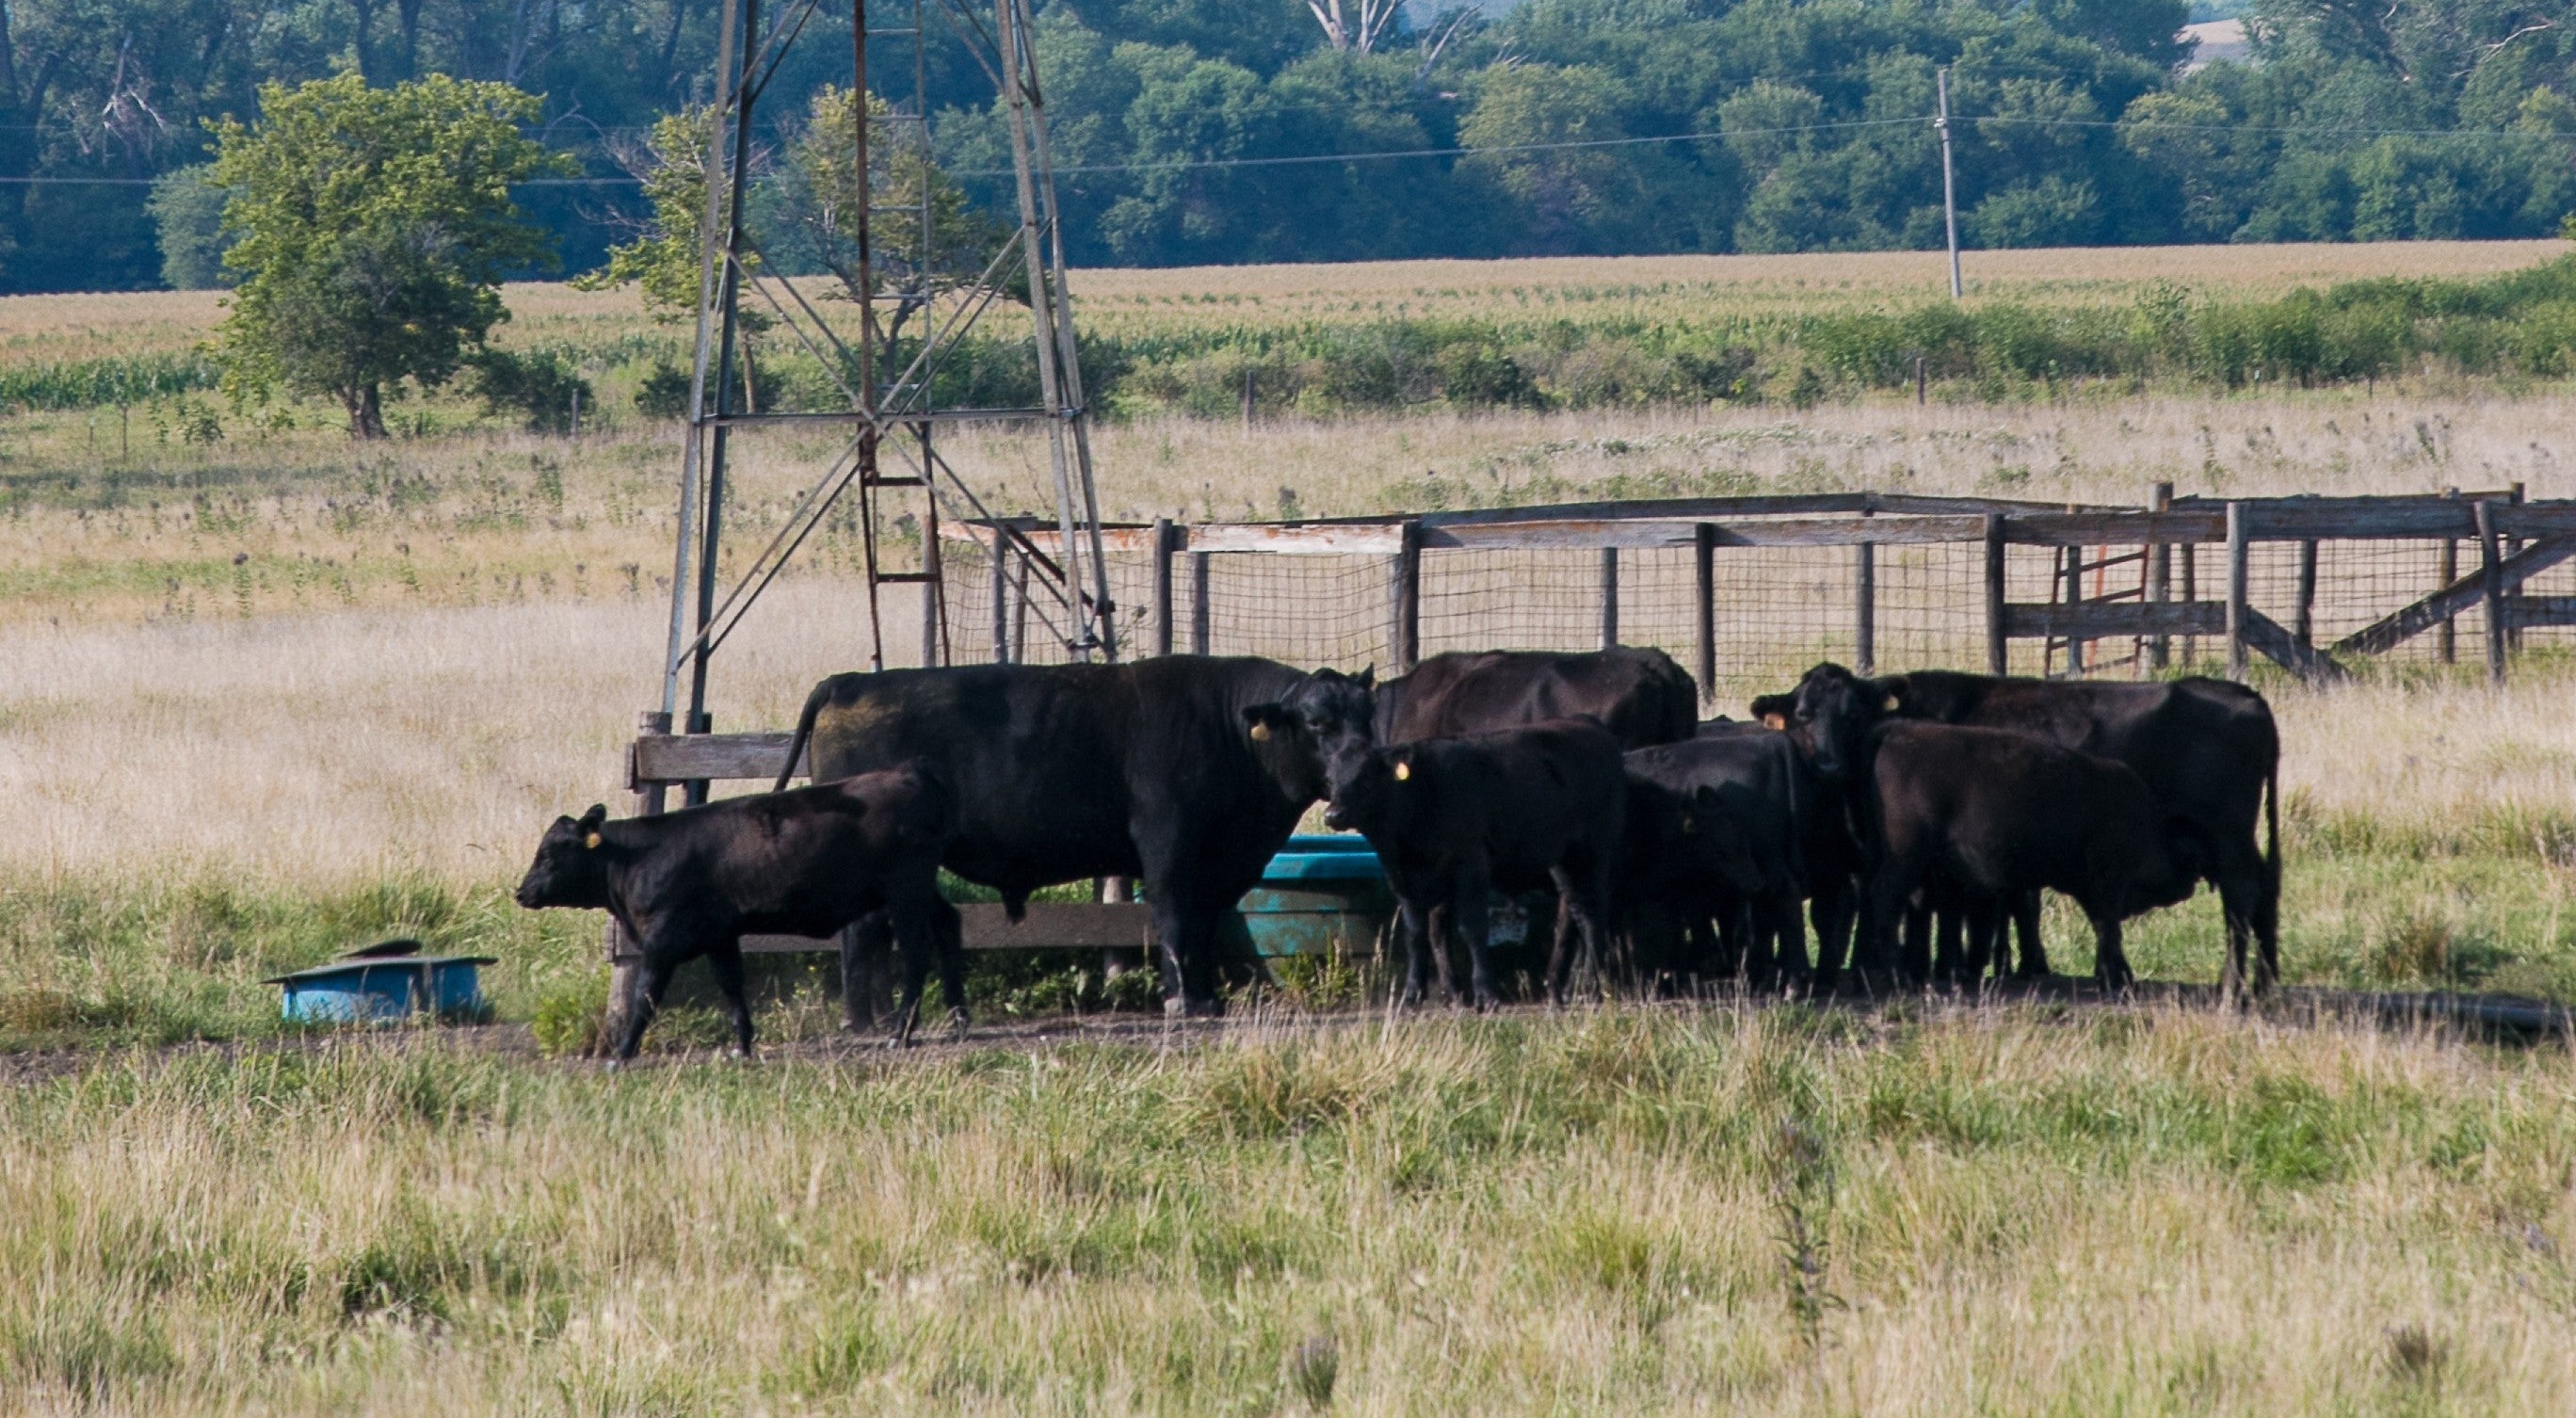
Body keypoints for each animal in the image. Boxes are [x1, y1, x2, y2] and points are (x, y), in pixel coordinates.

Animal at [514, 766, 956, 1061]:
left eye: (548, 854)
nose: (521, 892)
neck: (635, 859)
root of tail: (910, 774)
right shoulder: (719, 935)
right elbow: (731, 987)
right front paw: (742, 1046)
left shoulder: (662, 939)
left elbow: (646, 994)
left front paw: (622, 1052)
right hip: (922, 891)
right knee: (948, 923)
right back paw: (958, 1017)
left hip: (905, 892)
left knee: (916, 952)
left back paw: (901, 1033)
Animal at [773, 658, 1373, 1018]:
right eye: (1317, 722)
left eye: (1367, 718)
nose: (1360, 776)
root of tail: (851, 681)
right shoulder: (1169, 845)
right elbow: (1175, 917)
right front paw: (1180, 1000)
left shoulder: (1220, 867)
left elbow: (1203, 925)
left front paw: (1205, 998)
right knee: (863, 930)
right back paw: (867, 1019)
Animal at [1320, 719, 1628, 1008]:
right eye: (1331, 779)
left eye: (1366, 777)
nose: (1334, 814)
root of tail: (1591, 726)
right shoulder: (1403, 877)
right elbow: (1418, 933)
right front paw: (1415, 994)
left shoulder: (1470, 866)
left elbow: (1471, 927)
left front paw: (1485, 994)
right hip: (1563, 862)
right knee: (1574, 912)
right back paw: (1566, 988)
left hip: (1593, 852)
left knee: (1593, 914)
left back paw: (1591, 986)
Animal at [1835, 721, 2206, 992]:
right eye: (2185, 857)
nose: (2190, 885)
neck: (2146, 822)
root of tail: (1895, 731)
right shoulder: (2106, 883)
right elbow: (2108, 928)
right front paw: (2118, 979)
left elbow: (2102, 928)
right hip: (1906, 858)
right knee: (1886, 898)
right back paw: (1899, 978)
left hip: (1880, 854)